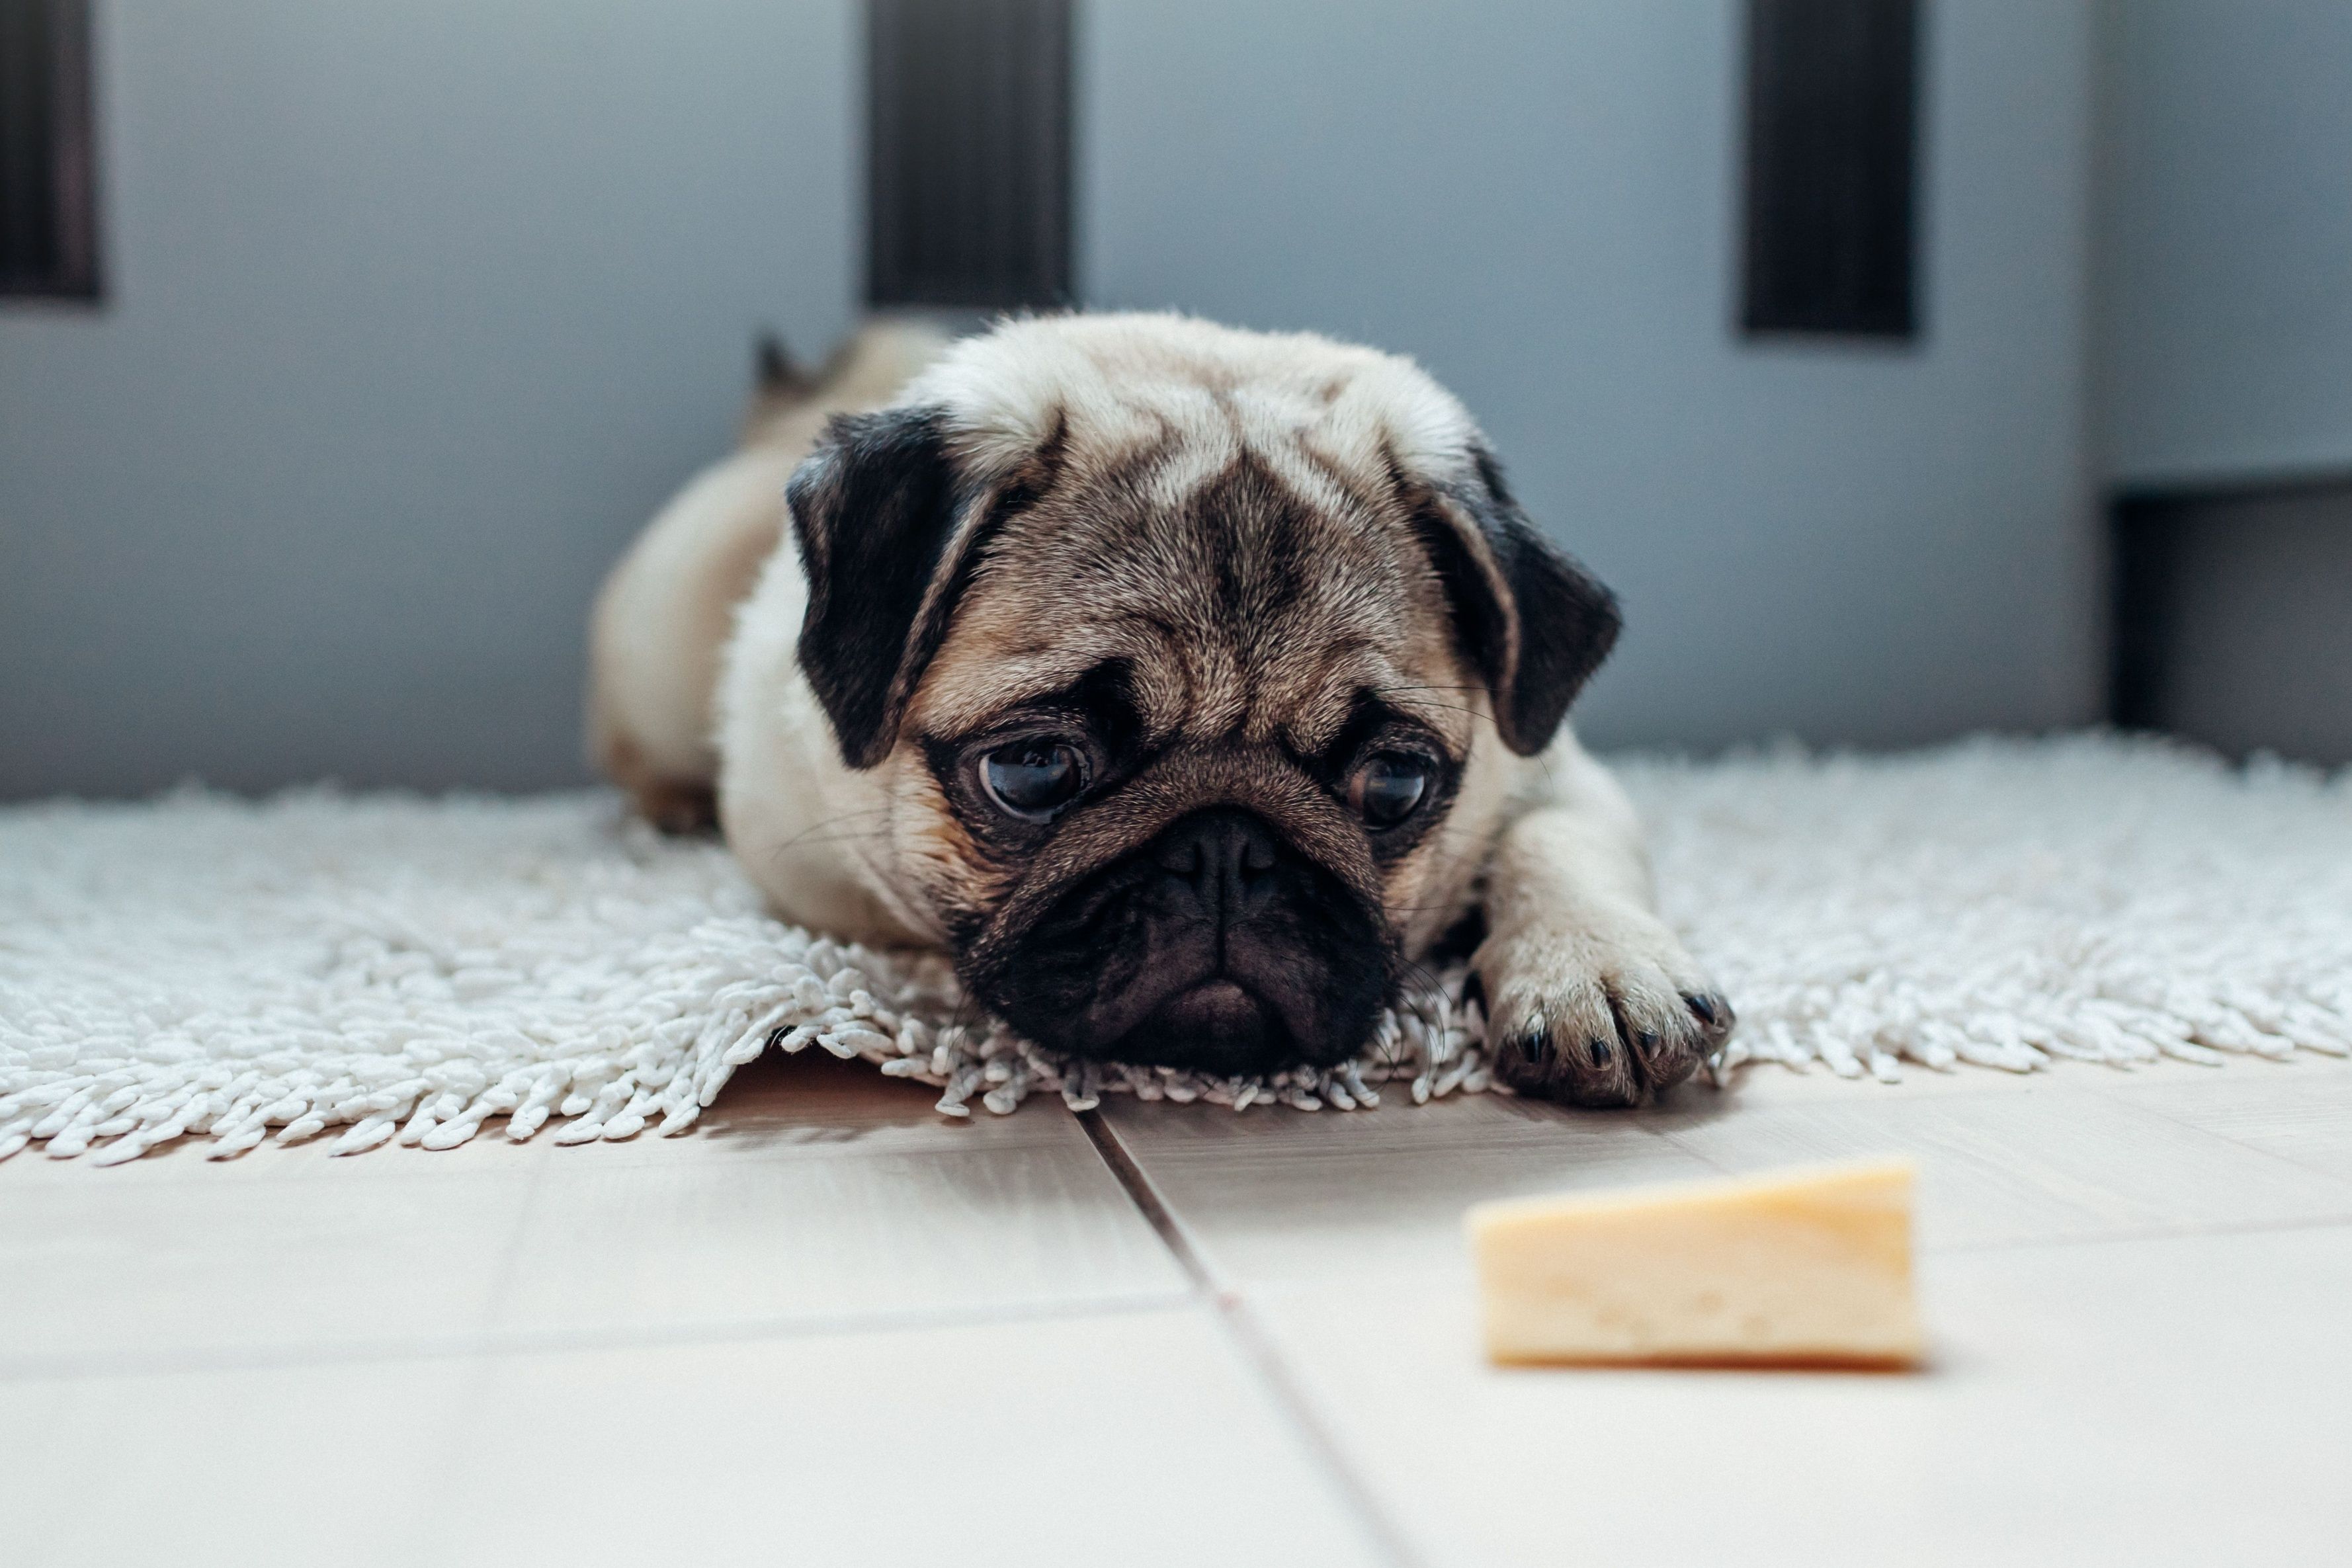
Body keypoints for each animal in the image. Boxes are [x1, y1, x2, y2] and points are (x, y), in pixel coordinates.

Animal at [588, 315, 1731, 1104]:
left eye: (1396, 783)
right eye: (1034, 771)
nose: (1226, 851)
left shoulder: (1553, 764)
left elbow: (1556, 843)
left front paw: (1599, 968)